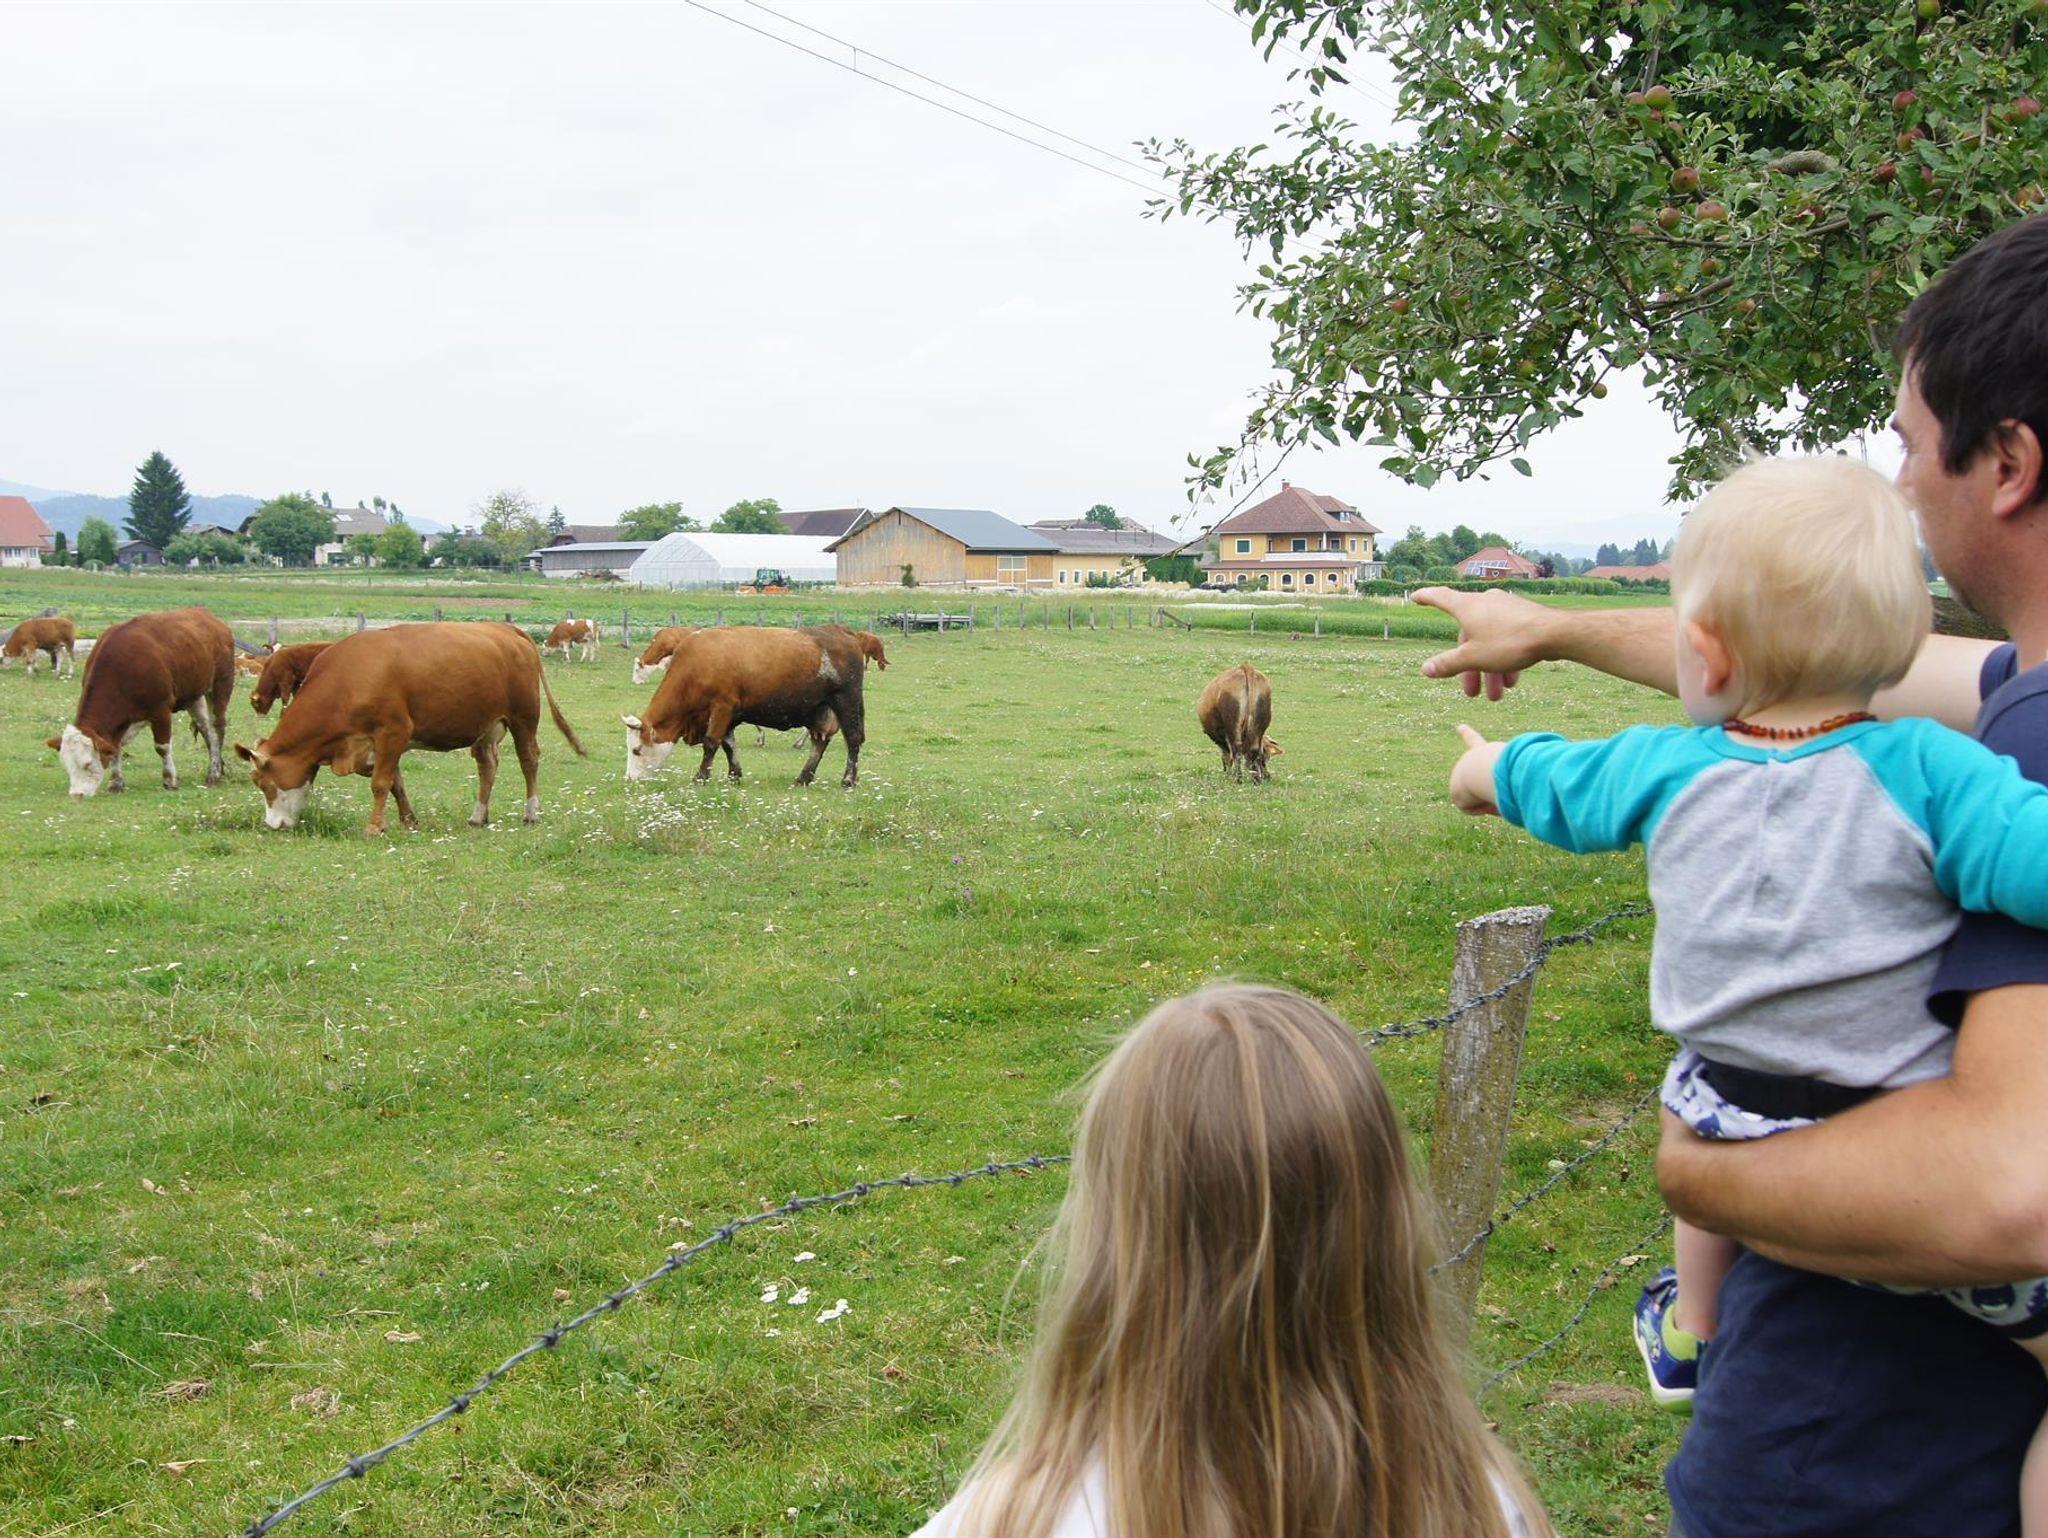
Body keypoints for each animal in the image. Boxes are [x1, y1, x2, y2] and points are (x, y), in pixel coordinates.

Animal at [46, 608, 234, 797]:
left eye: (88, 763)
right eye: (66, 766)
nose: (77, 794)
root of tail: (208, 615)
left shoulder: (161, 709)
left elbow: (162, 747)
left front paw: (169, 780)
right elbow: (115, 748)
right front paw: (116, 782)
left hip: (221, 685)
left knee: (217, 729)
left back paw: (214, 774)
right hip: (193, 696)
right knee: (206, 731)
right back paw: (218, 767)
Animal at [234, 622, 585, 835]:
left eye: (263, 784)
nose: (272, 825)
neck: (346, 681)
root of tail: (504, 628)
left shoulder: (393, 732)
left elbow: (380, 784)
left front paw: (375, 826)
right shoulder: (374, 746)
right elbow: (395, 783)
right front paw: (407, 820)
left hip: (524, 718)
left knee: (529, 761)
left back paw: (531, 812)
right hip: (485, 727)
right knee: (488, 766)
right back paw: (477, 815)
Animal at [623, 625, 871, 788]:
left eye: (636, 750)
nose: (631, 780)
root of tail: (843, 632)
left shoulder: (722, 706)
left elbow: (711, 743)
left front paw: (701, 777)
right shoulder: (729, 715)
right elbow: (728, 745)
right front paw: (734, 775)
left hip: (846, 701)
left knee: (853, 740)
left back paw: (848, 780)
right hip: (820, 709)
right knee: (819, 743)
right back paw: (804, 777)